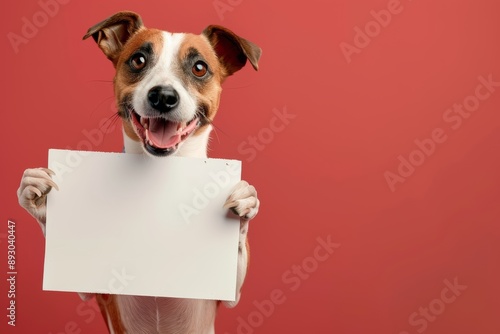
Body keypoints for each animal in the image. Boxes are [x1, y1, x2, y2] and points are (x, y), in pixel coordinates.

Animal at [17, 10, 262, 334]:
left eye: (199, 68)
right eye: (138, 60)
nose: (164, 96)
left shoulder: (229, 296)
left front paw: (246, 202)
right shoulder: (91, 292)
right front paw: (39, 198)